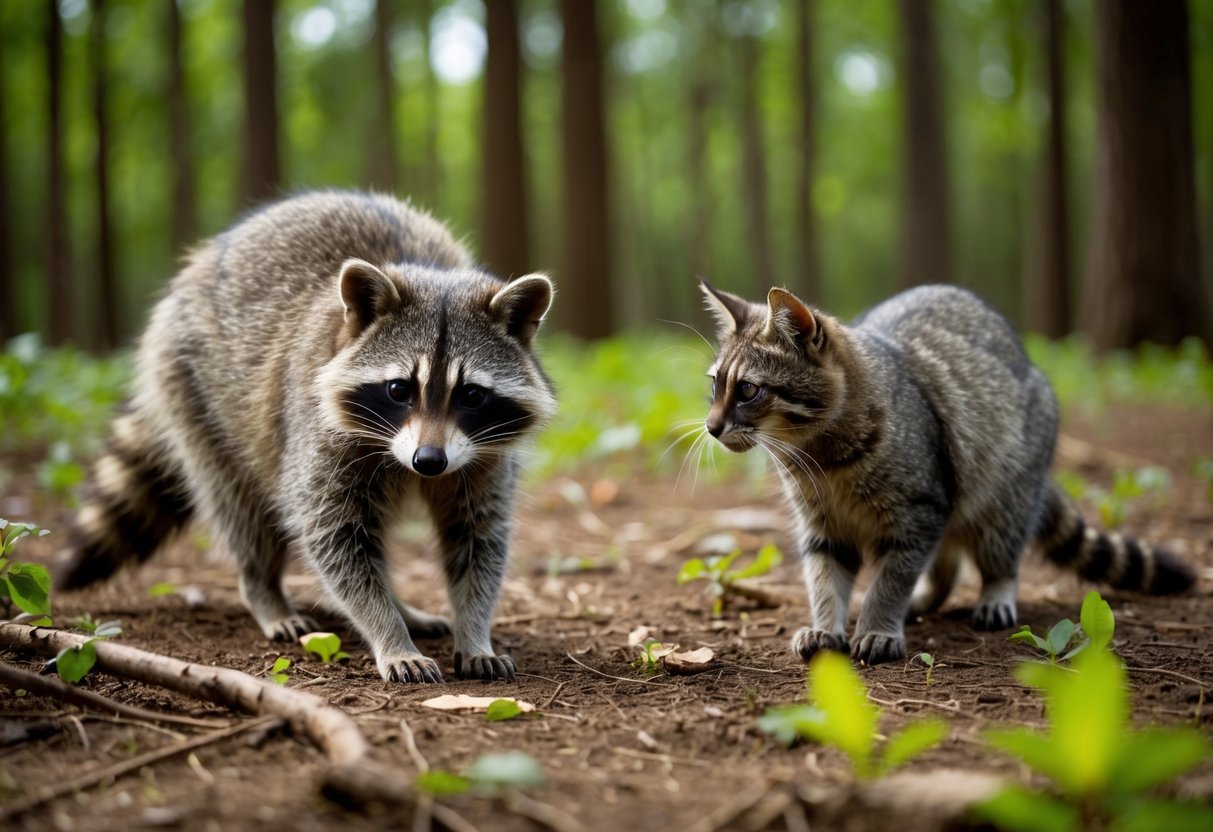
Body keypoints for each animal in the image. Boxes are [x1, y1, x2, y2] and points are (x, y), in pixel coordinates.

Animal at [60, 191, 556, 683]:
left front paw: (473, 630)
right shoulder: (316, 432)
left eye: (471, 395)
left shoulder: (484, 457)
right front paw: (388, 632)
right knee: (239, 505)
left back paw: (401, 606)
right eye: (399, 390)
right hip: (190, 386)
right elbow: (333, 536)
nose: (429, 461)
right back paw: (264, 589)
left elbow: (479, 538)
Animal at [698, 281, 1194, 666]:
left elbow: (891, 581)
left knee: (996, 553)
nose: (711, 427)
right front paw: (826, 622)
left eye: (748, 390)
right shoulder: (824, 523)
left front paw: (879, 621)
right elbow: (824, 577)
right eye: (715, 385)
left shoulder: (920, 507)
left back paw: (994, 591)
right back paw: (926, 597)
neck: (819, 455)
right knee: (947, 566)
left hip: (1002, 491)